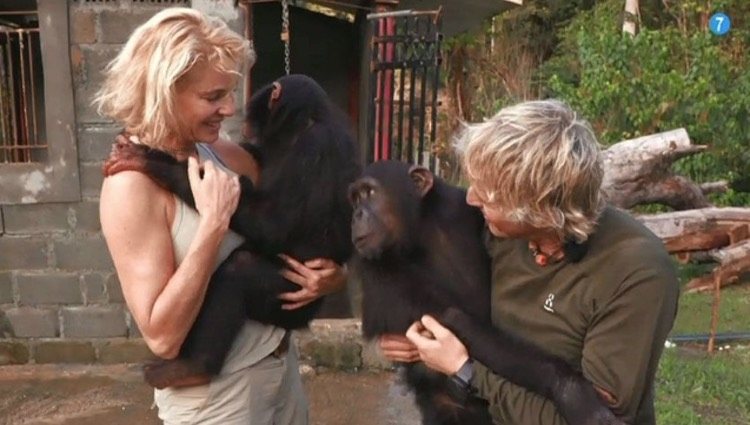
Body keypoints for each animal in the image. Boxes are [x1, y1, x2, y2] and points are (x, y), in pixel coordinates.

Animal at [350, 159, 624, 424]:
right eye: (355, 198)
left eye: (369, 192)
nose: (356, 214)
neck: (419, 232)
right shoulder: (378, 268)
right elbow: (452, 315)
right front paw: (570, 390)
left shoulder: (462, 207)